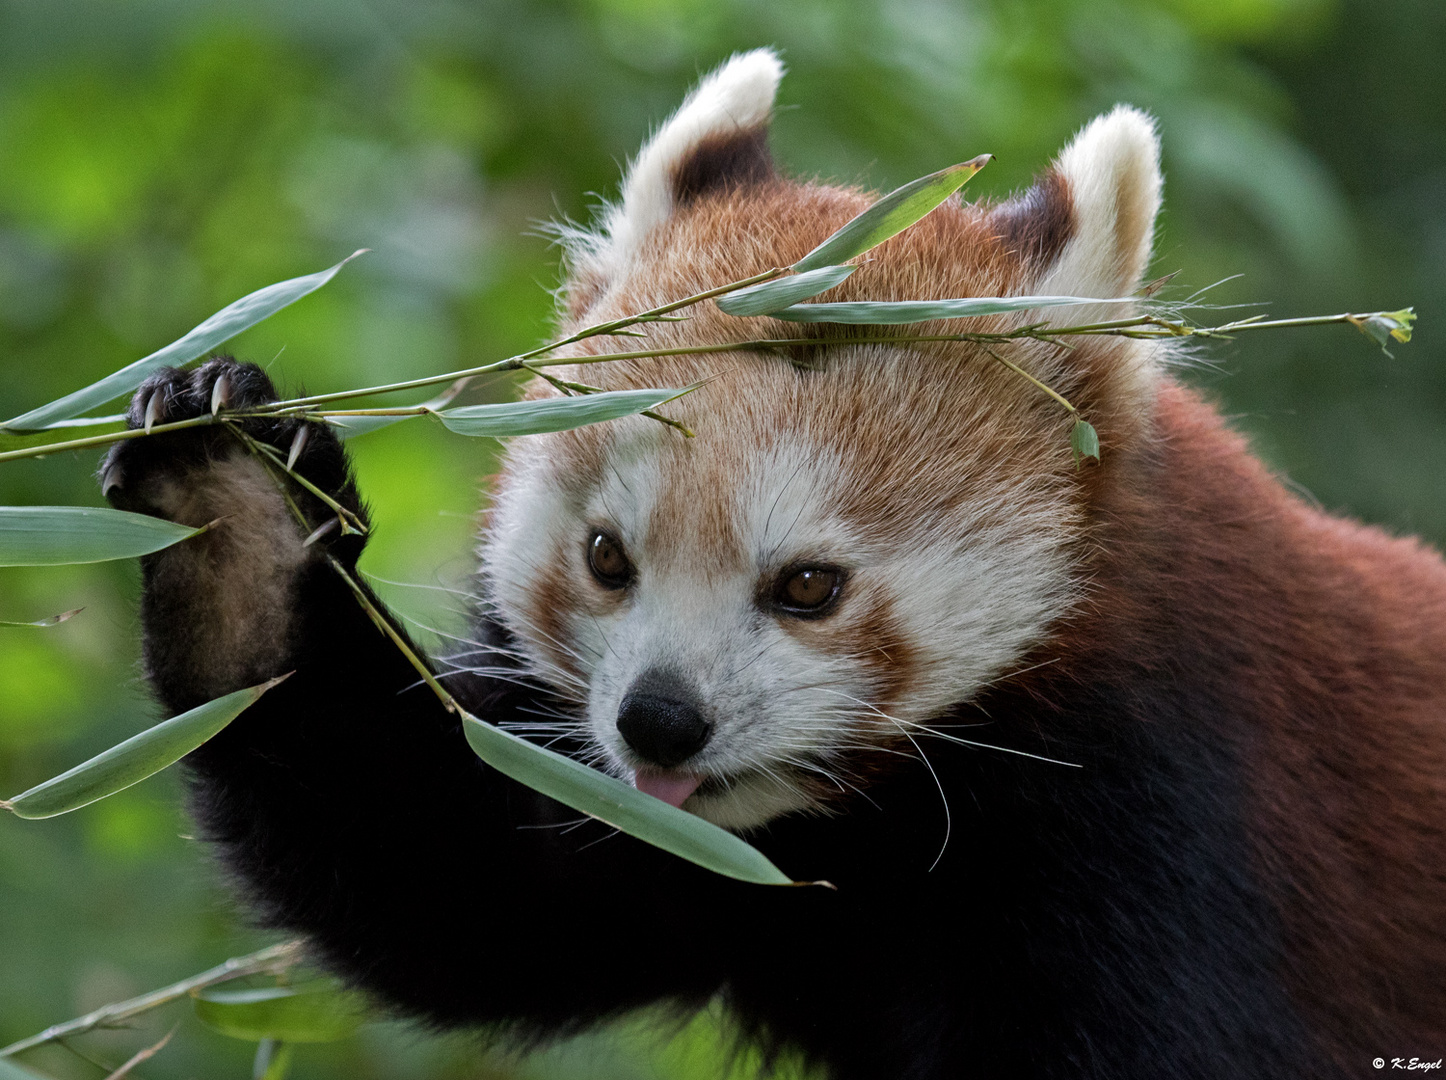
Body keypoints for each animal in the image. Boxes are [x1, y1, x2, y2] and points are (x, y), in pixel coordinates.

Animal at [101, 48, 1446, 1080]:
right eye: (606, 557)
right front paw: (239, 521)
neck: (871, 838)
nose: (660, 722)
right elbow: (460, 889)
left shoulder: (1190, 815)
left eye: (808, 585)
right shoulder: (676, 858)